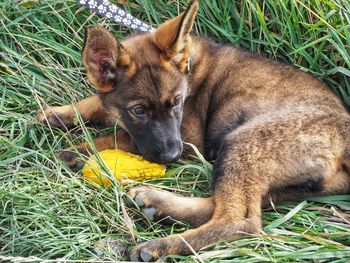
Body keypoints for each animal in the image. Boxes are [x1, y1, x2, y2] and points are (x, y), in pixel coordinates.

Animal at [36, 0, 350, 262]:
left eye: (177, 102)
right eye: (139, 111)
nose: (173, 157)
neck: (187, 69)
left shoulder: (188, 138)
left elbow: (118, 136)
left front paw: (75, 152)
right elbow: (95, 104)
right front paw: (57, 114)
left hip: (244, 143)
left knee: (240, 222)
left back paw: (161, 244)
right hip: (274, 177)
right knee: (228, 207)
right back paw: (156, 202)